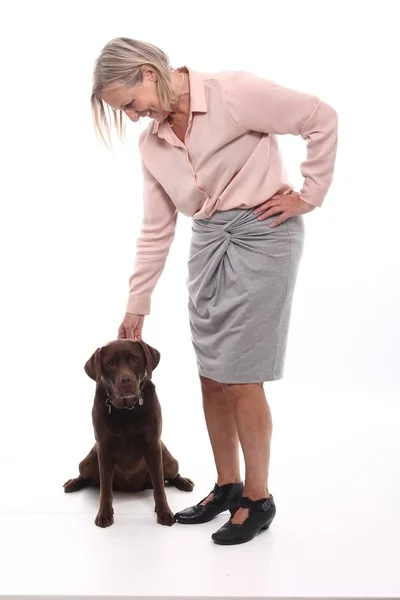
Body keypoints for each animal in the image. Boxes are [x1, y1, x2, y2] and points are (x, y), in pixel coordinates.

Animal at [63, 340, 194, 528]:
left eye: (135, 359)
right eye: (111, 364)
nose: (126, 380)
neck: (127, 410)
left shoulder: (153, 445)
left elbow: (159, 486)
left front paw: (164, 512)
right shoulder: (103, 448)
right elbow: (105, 489)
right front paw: (104, 514)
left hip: (169, 461)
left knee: (171, 474)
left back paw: (184, 482)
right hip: (87, 462)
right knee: (86, 476)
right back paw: (73, 483)